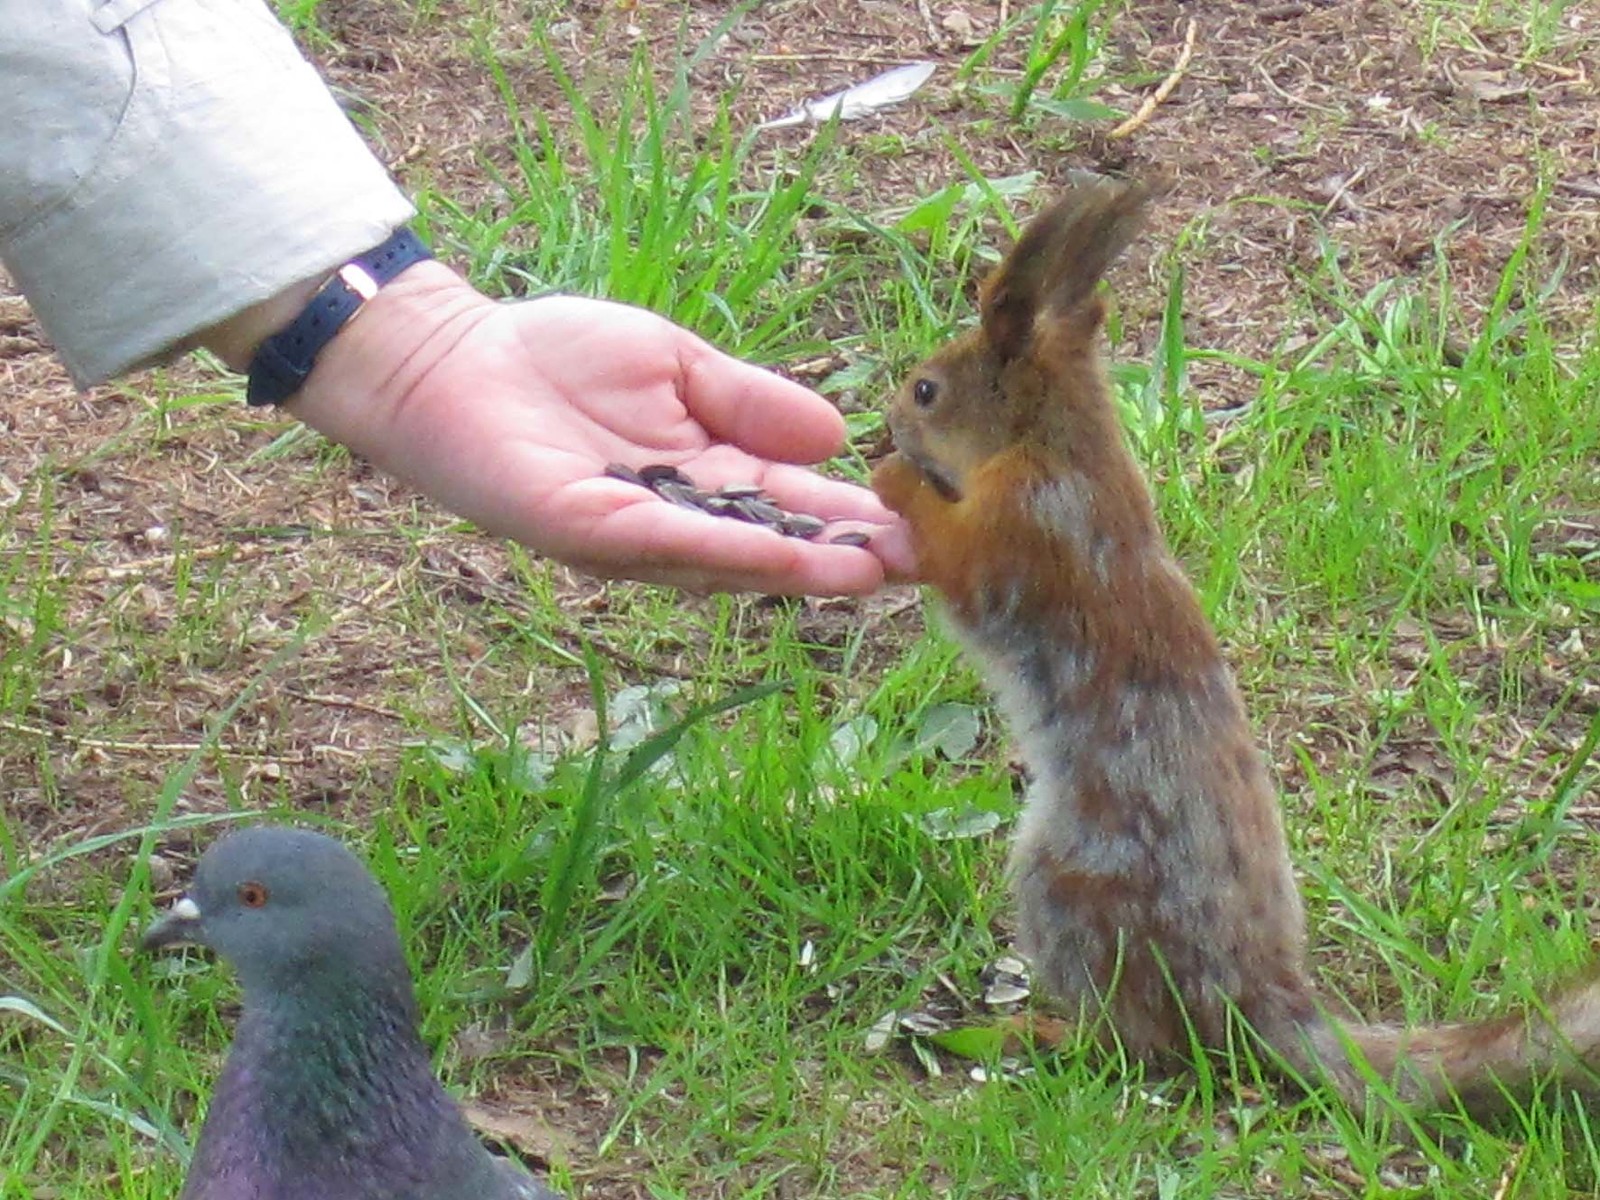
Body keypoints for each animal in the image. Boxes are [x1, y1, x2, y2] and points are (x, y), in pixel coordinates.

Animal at [870, 176, 1600, 1120]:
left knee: (1137, 1044)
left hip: (1070, 886)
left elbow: (962, 564)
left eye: (927, 390)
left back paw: (1040, 1034)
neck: (1059, 447)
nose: (889, 418)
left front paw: (891, 479)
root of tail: (1252, 997)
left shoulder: (1027, 529)